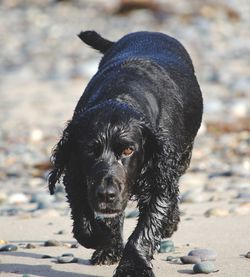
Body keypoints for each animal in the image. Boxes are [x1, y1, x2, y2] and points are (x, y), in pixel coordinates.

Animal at [48, 31, 203, 274]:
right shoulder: (76, 176)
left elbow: (146, 229)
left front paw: (133, 266)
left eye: (129, 150)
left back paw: (170, 222)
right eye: (90, 150)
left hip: (182, 157)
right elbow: (85, 223)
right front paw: (106, 244)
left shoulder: (159, 178)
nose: (106, 194)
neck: (122, 94)